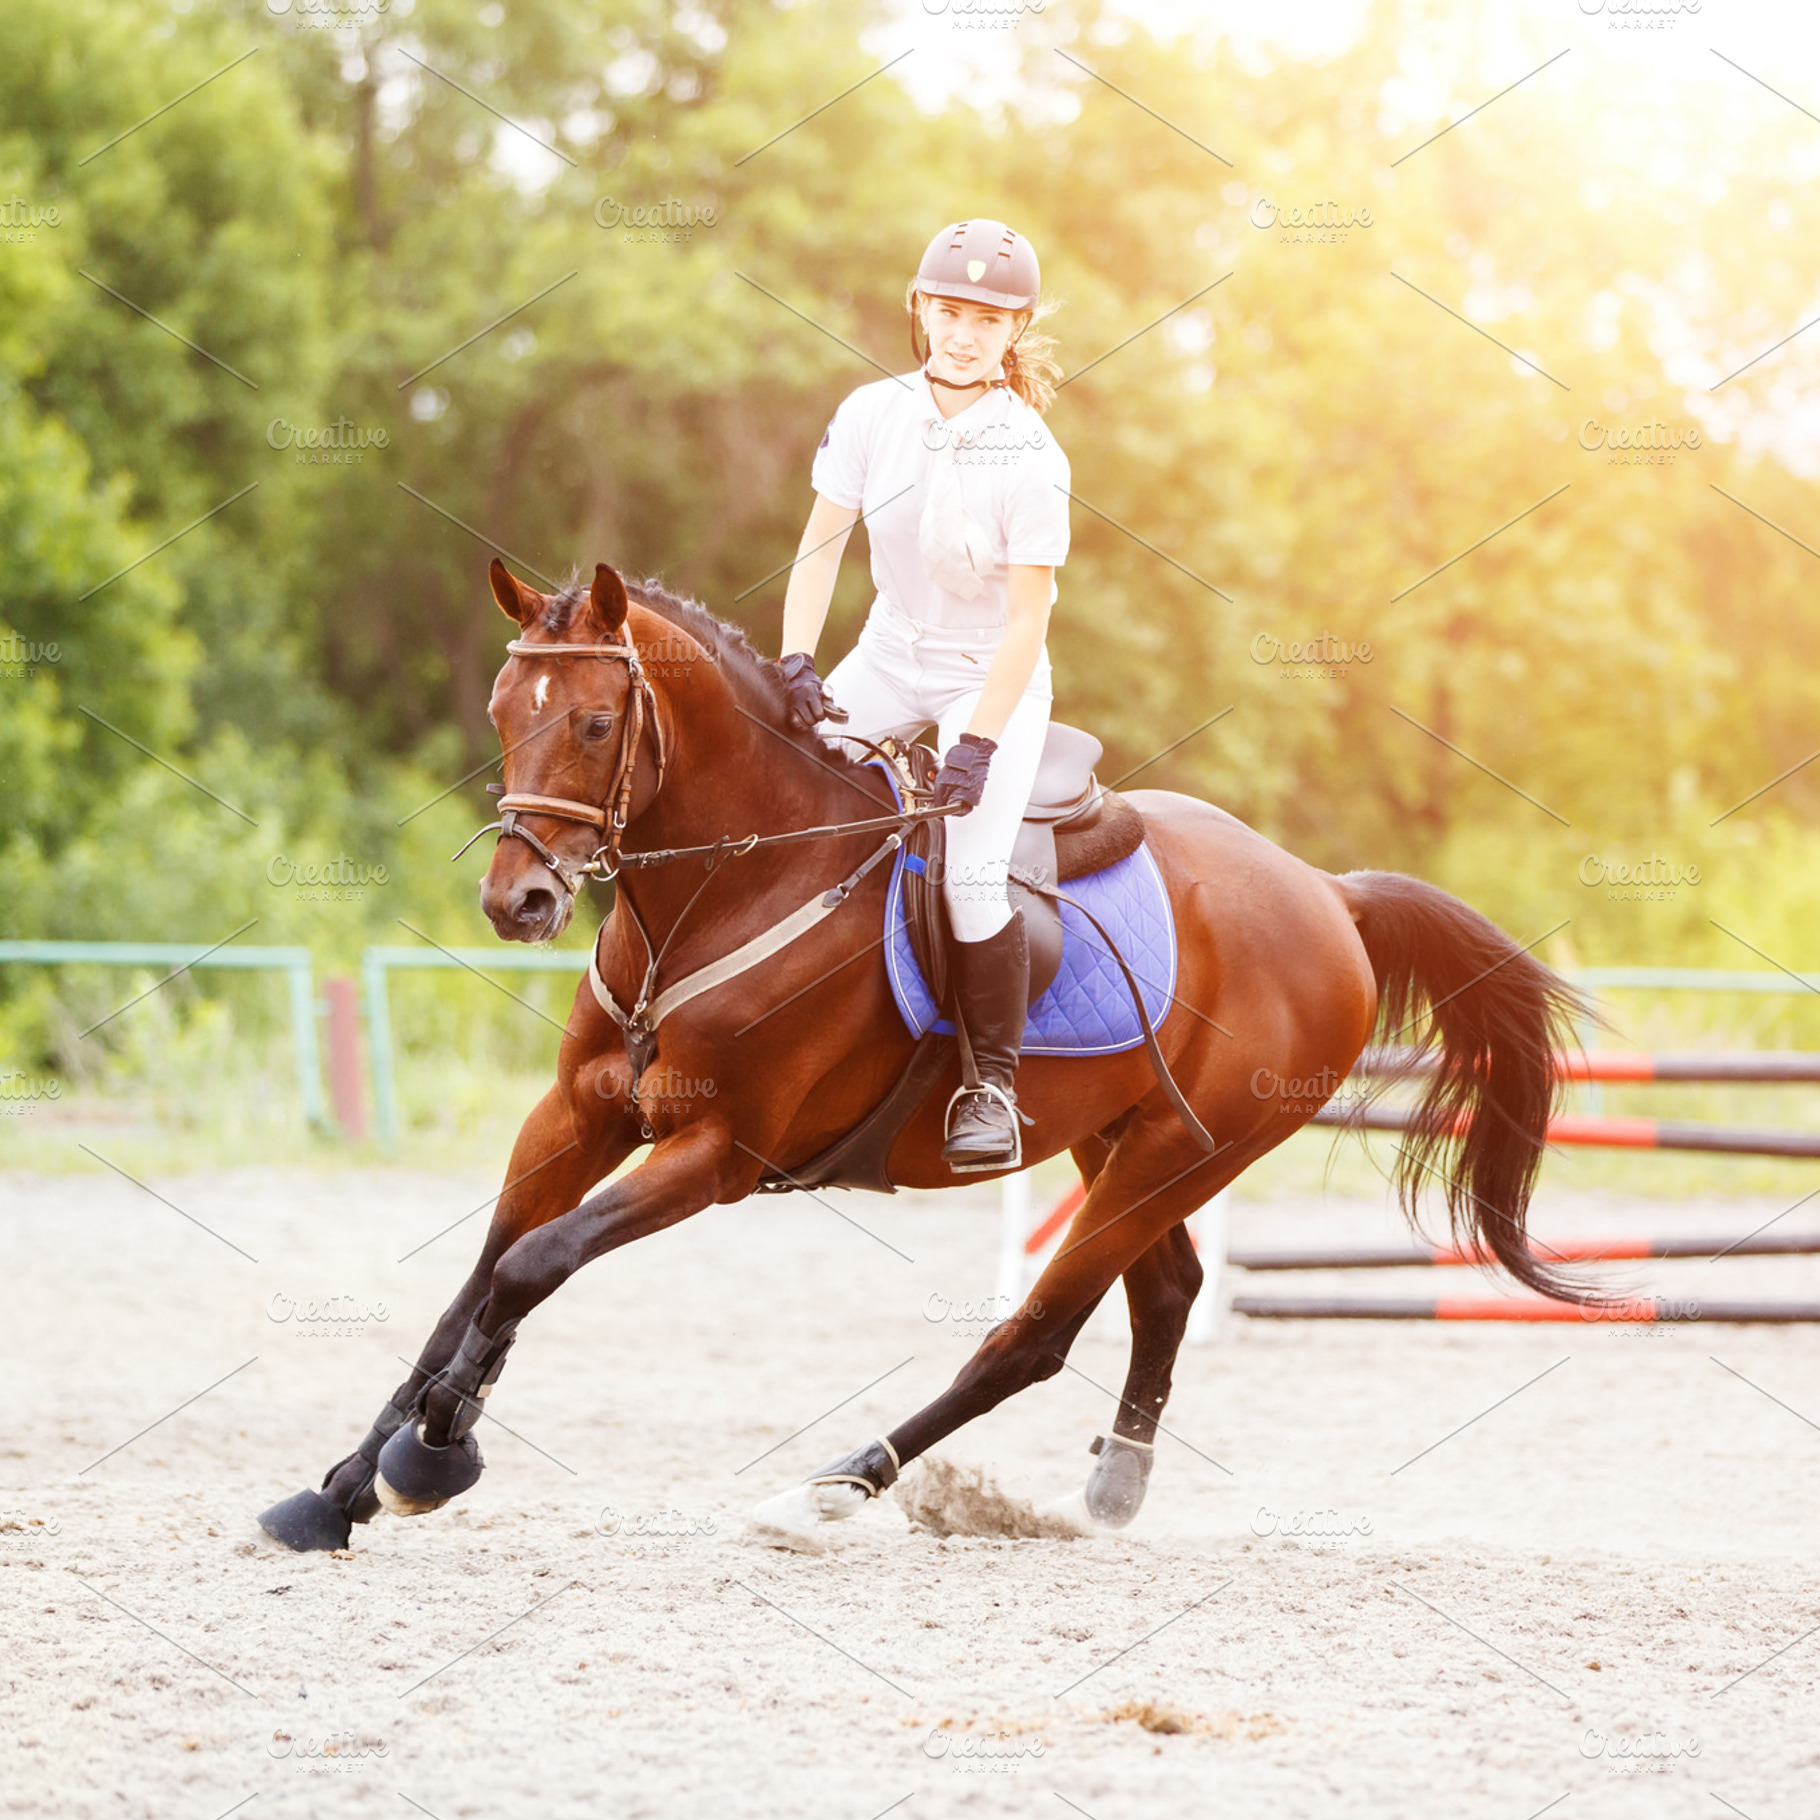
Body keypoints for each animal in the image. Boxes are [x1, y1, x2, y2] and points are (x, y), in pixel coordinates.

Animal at [258, 559, 1586, 1553]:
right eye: (500, 714)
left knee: (1031, 1338)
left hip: (1180, 1150)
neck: (724, 884)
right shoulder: (576, 1117)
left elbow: (535, 1263)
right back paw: (1108, 1486)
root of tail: (1327, 892)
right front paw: (343, 1486)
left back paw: (832, 1485)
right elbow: (479, 1279)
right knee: (1162, 1290)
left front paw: (434, 1451)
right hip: (1123, 1137)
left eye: (592, 720)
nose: (518, 899)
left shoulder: (717, 1149)